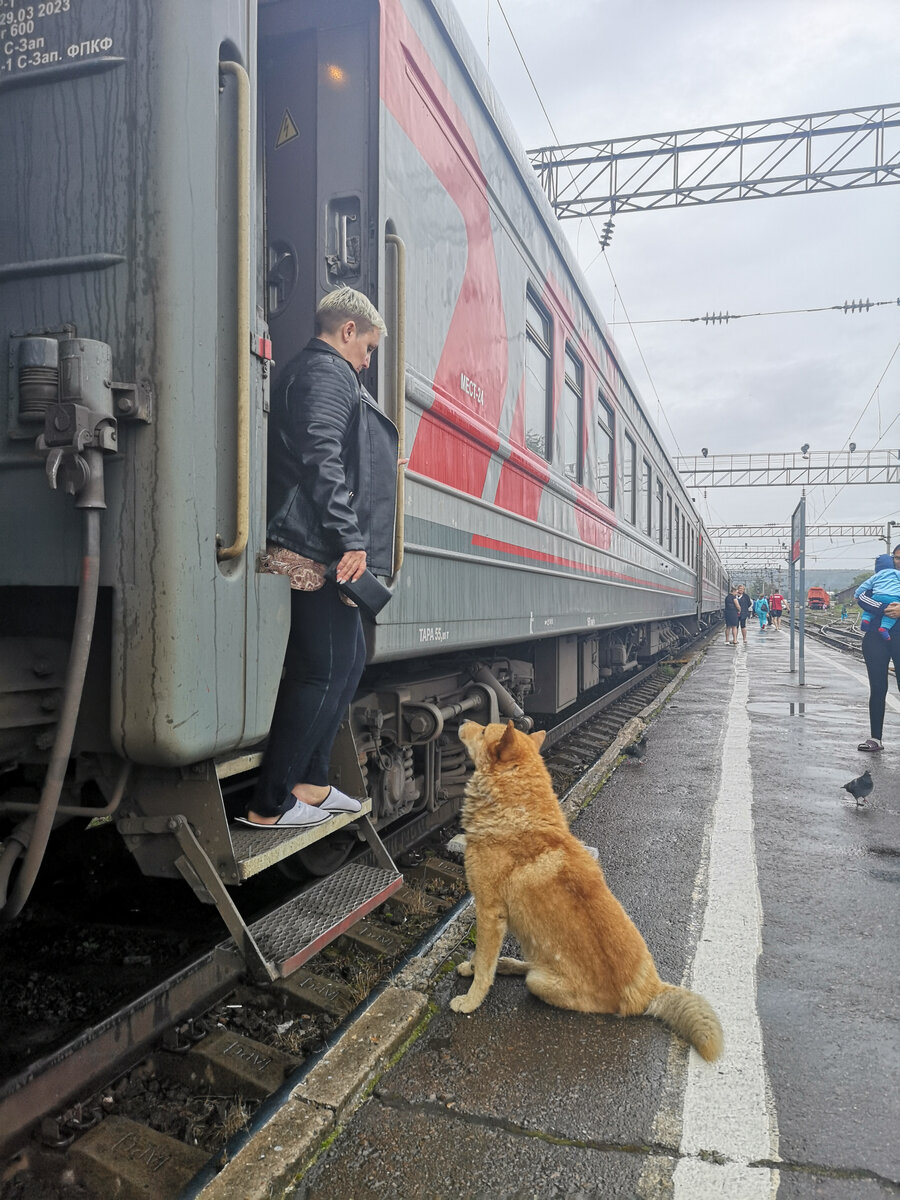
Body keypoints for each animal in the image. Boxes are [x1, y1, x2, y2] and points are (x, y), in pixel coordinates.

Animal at [451, 715, 724, 1065]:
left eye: (484, 730)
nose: (461, 720)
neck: (516, 813)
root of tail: (650, 990)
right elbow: (483, 960)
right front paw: (473, 967)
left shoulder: (489, 912)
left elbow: (485, 968)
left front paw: (470, 999)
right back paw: (509, 964)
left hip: (540, 982)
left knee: (531, 975)